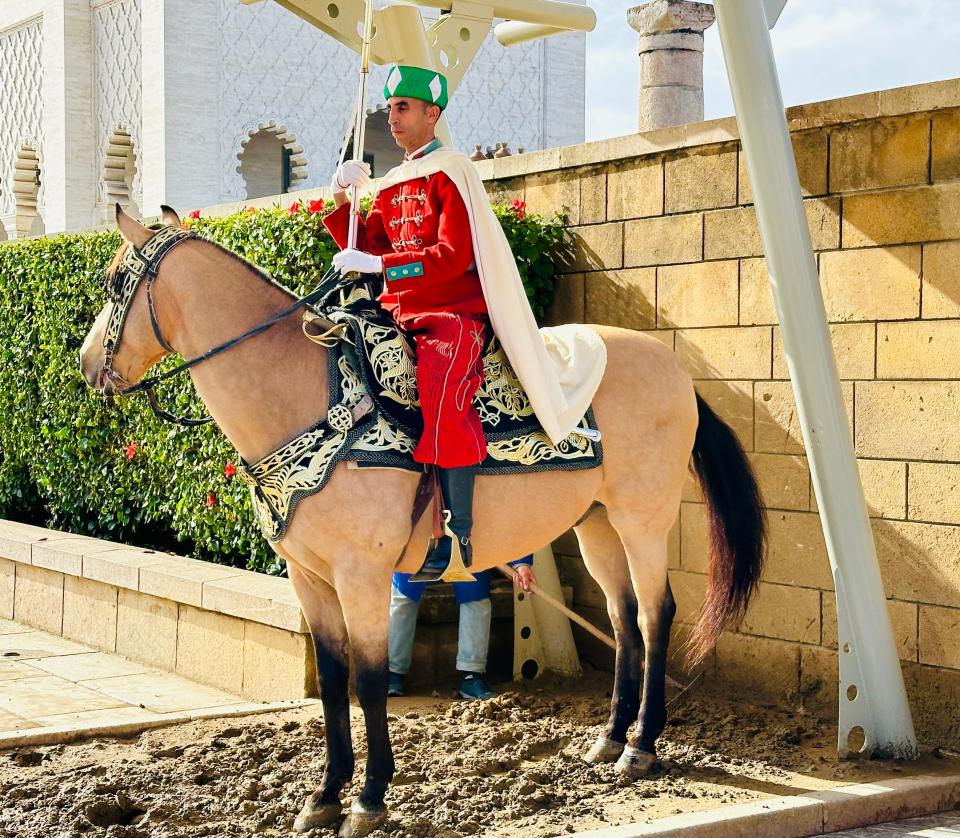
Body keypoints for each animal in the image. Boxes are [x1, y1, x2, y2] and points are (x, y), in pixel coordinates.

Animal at [80, 205, 764, 838]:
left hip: (642, 519)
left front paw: (368, 798)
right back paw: (611, 738)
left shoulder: (361, 575)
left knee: (653, 615)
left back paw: (642, 746)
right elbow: (334, 679)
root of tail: (677, 371)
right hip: (595, 525)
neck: (312, 395)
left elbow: (370, 680)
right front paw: (324, 795)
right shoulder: (309, 578)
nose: (87, 366)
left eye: (114, 282)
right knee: (622, 620)